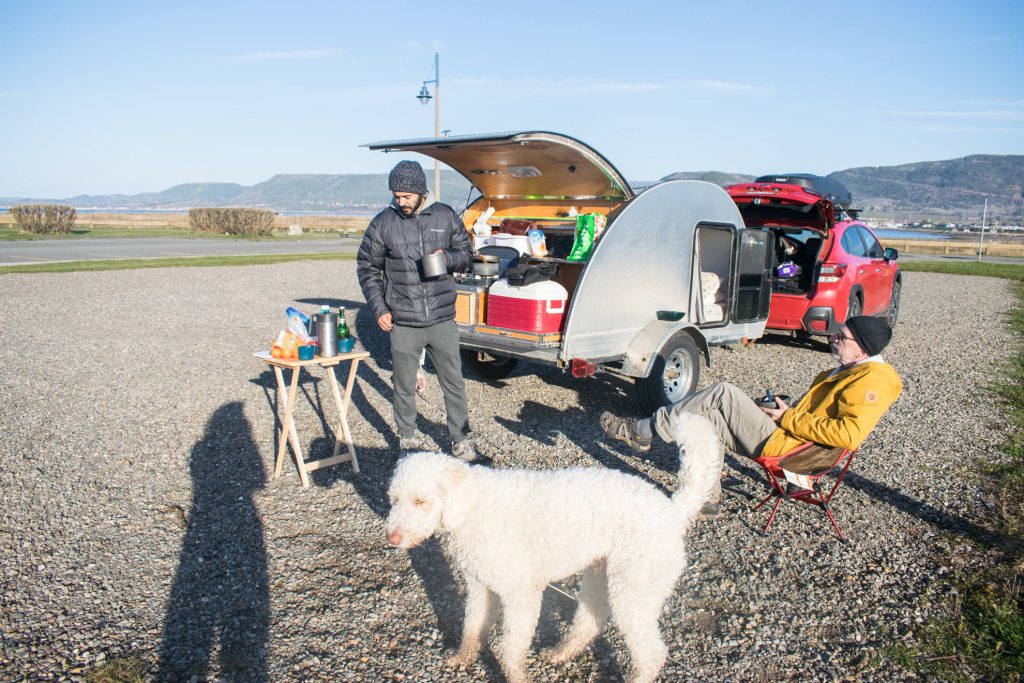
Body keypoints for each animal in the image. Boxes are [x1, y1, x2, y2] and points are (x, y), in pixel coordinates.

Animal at [385, 411, 720, 683]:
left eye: (421, 501)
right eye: (394, 499)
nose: (392, 538)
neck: (473, 508)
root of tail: (673, 510)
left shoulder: (521, 594)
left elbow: (511, 648)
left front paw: (516, 677)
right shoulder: (481, 586)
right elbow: (472, 628)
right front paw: (461, 658)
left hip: (633, 590)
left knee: (651, 653)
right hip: (603, 575)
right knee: (590, 622)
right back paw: (561, 653)